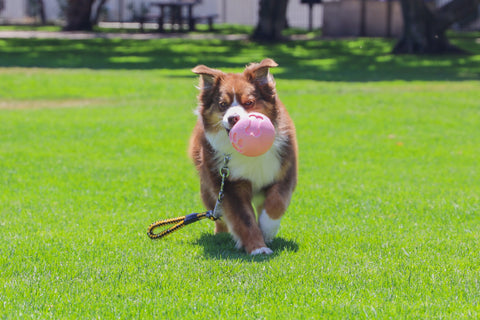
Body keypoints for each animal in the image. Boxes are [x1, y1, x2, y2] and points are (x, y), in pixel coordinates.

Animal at [188, 59, 296, 255]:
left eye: (249, 102)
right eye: (223, 104)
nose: (233, 118)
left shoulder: (285, 170)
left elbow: (276, 202)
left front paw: (267, 230)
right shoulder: (229, 185)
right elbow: (244, 218)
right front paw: (258, 248)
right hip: (208, 186)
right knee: (217, 213)